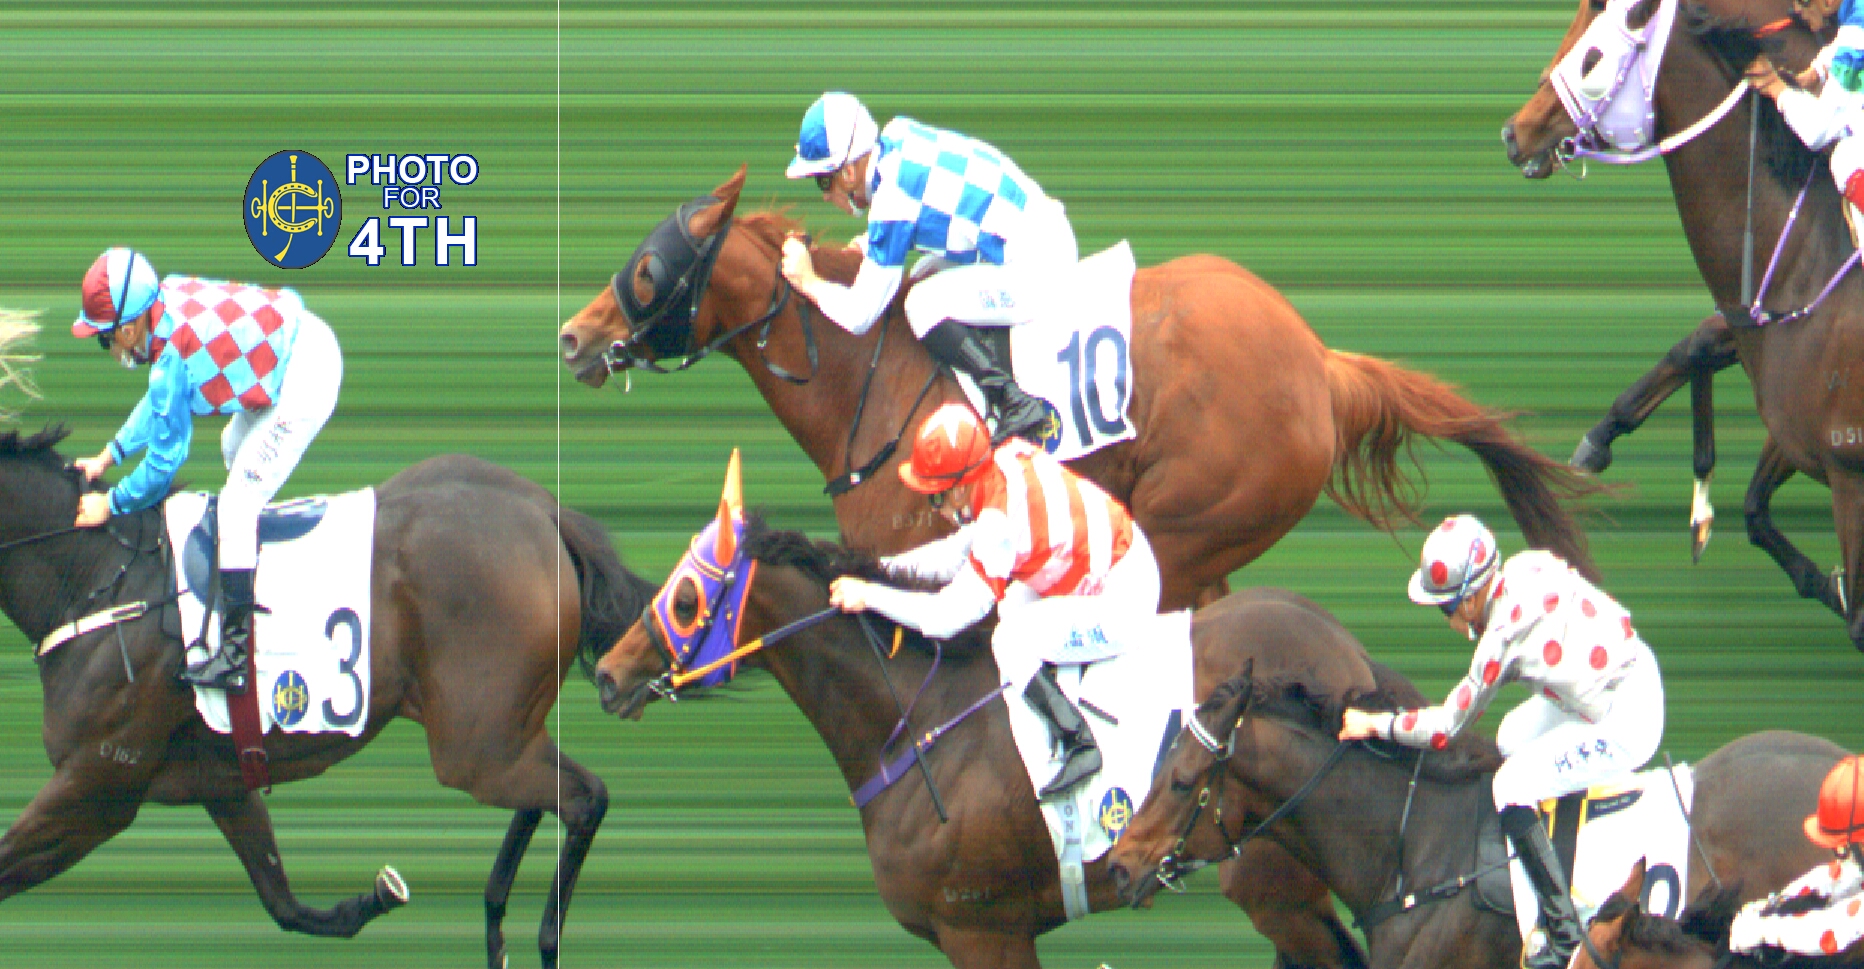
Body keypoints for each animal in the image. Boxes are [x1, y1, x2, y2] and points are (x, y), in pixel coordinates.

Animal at [0, 317, 651, 969]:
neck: (99, 580)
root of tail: (543, 511)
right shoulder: (223, 781)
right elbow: (288, 905)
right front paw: (375, 899)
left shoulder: (99, 785)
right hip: (503, 731)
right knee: (553, 796)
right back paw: (495, 925)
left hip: (476, 748)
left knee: (586, 798)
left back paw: (538, 938)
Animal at [587, 470, 1430, 969]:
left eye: (687, 597)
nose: (605, 673)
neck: (916, 726)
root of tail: (1349, 652)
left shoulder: (983, 928)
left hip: (1275, 884)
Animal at [1503, 0, 1864, 646]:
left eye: (1592, 59)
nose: (1514, 132)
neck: (1811, 260)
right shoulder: (1788, 406)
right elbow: (1753, 507)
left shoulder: (1850, 474)